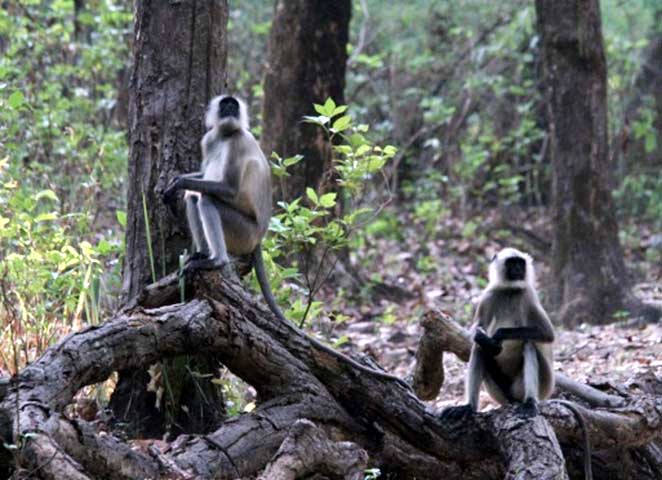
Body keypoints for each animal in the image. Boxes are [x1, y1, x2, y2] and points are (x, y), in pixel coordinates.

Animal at [163, 94, 412, 390]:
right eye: (225, 106)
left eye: (233, 106)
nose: (230, 110)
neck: (226, 134)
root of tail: (259, 237)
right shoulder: (208, 139)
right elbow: (201, 178)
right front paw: (176, 182)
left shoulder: (238, 142)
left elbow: (228, 189)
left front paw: (178, 182)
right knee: (196, 197)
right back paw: (201, 255)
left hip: (243, 232)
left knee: (206, 199)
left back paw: (216, 260)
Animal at [444, 248, 592, 480]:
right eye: (511, 263)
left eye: (520, 264)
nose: (517, 270)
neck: (510, 291)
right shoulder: (488, 295)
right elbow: (476, 332)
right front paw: (485, 337)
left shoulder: (528, 295)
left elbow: (547, 334)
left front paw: (500, 335)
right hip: (500, 392)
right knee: (479, 349)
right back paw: (469, 408)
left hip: (540, 386)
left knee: (528, 344)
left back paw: (529, 403)